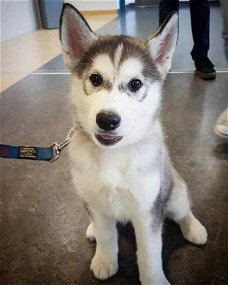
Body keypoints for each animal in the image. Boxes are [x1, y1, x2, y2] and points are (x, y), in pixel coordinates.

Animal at [59, 3, 208, 282]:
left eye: (135, 83)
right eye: (95, 79)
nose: (107, 120)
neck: (113, 155)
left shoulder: (148, 210)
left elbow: (149, 253)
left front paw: (154, 280)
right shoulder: (97, 204)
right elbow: (107, 236)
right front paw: (105, 260)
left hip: (174, 193)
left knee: (183, 210)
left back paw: (194, 228)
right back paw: (92, 229)